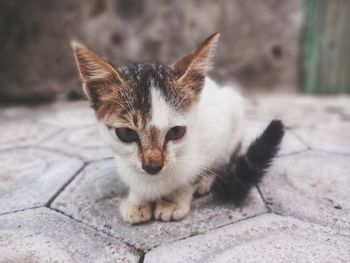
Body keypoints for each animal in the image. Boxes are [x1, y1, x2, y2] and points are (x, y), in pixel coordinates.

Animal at [72, 32, 284, 224]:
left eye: (175, 132)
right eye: (126, 133)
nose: (153, 166)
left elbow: (191, 175)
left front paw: (173, 200)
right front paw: (137, 200)